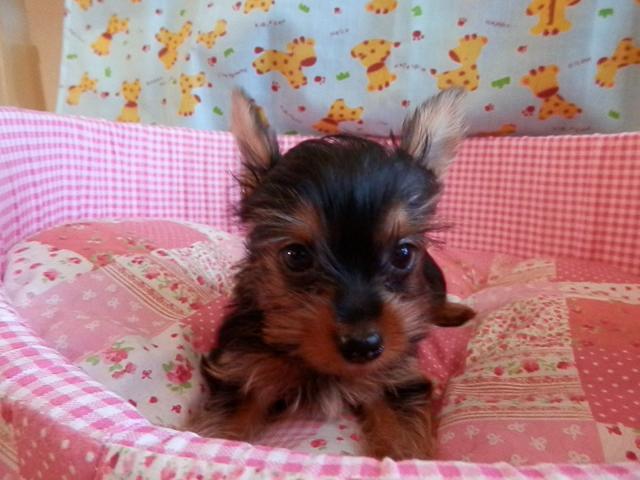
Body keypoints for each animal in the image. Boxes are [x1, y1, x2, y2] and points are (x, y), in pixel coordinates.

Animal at [193, 89, 475, 460]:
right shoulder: (242, 370)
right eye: (296, 256)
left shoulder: (396, 379)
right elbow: (219, 434)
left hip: (433, 278)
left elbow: (403, 443)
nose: (363, 345)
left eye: (402, 254)